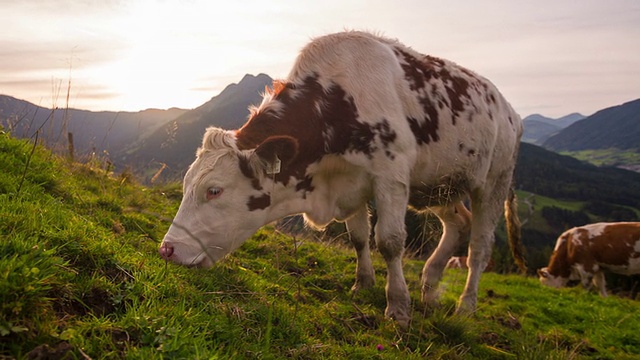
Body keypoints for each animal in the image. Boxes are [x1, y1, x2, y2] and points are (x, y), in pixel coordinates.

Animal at [158, 31, 524, 326]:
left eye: (214, 191)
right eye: (186, 185)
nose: (167, 249)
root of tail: (509, 110)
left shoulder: (391, 175)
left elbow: (389, 241)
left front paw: (398, 308)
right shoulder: (350, 182)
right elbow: (359, 238)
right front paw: (362, 285)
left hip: (494, 181)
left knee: (479, 247)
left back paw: (465, 306)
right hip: (440, 184)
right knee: (458, 223)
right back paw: (430, 287)